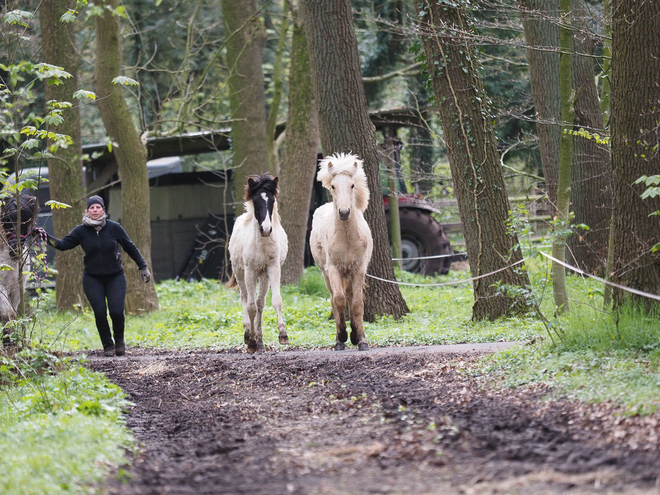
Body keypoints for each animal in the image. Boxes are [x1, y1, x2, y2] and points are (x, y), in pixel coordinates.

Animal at [0, 196, 39, 328]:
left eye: (26, 221)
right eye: (6, 220)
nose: (15, 250)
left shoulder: (17, 289)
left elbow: (13, 316)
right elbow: (8, 314)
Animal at [228, 172, 288, 354]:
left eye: (272, 201)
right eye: (255, 201)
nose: (266, 230)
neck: (262, 244)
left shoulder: (273, 268)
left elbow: (275, 300)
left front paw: (283, 334)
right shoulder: (250, 271)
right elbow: (250, 306)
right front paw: (251, 342)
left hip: (263, 276)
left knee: (260, 303)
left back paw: (260, 340)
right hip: (241, 273)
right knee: (245, 299)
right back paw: (249, 336)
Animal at [310, 153, 372, 350]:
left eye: (352, 185)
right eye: (333, 186)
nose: (344, 212)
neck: (347, 238)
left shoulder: (359, 269)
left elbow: (357, 304)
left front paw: (361, 340)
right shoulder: (333, 269)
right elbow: (338, 300)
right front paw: (341, 338)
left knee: (351, 298)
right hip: (326, 274)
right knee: (334, 299)